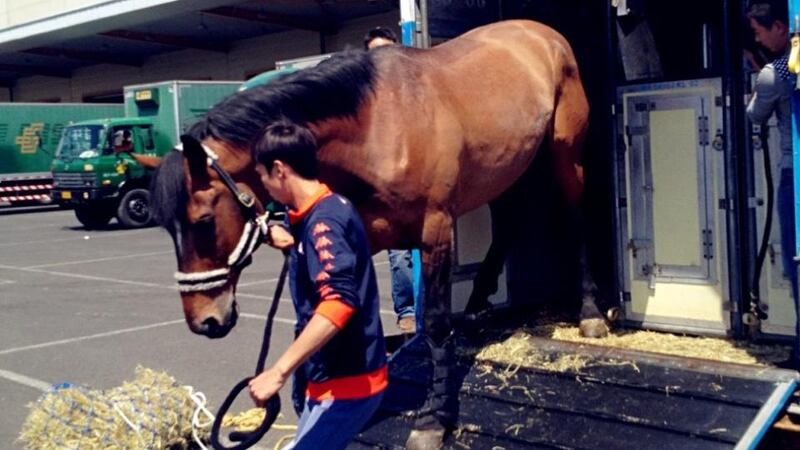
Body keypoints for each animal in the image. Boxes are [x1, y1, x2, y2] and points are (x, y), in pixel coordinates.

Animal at [151, 19, 608, 450]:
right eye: (167, 227)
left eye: (203, 221)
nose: (205, 321)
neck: (377, 126)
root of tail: (540, 33)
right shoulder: (362, 235)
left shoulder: (435, 229)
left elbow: (435, 324)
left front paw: (432, 419)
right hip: (503, 167)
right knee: (511, 221)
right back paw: (478, 304)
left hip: (565, 152)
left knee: (578, 218)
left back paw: (590, 314)